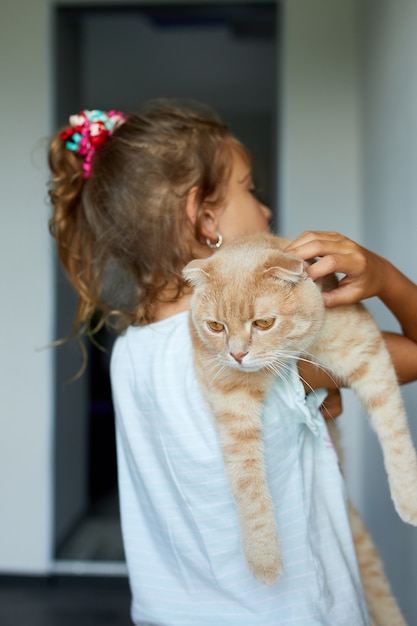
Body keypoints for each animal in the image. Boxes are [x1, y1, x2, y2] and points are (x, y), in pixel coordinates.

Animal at [183, 230, 416, 616]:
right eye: (216, 326)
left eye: (263, 323)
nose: (237, 354)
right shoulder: (230, 398)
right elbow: (248, 482)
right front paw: (263, 556)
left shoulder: (368, 356)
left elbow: (394, 430)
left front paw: (408, 495)